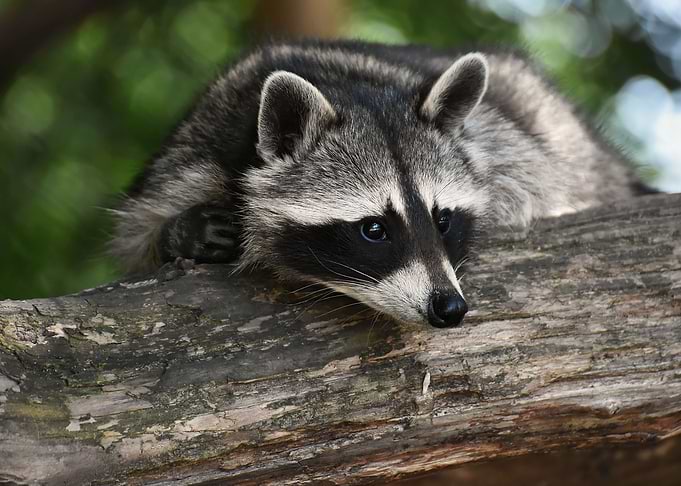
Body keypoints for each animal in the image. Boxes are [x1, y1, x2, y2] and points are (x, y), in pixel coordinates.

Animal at [110, 40, 642, 328]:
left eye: (443, 219)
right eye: (374, 229)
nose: (450, 308)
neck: (347, 88)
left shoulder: (505, 145)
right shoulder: (194, 150)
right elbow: (137, 235)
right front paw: (181, 233)